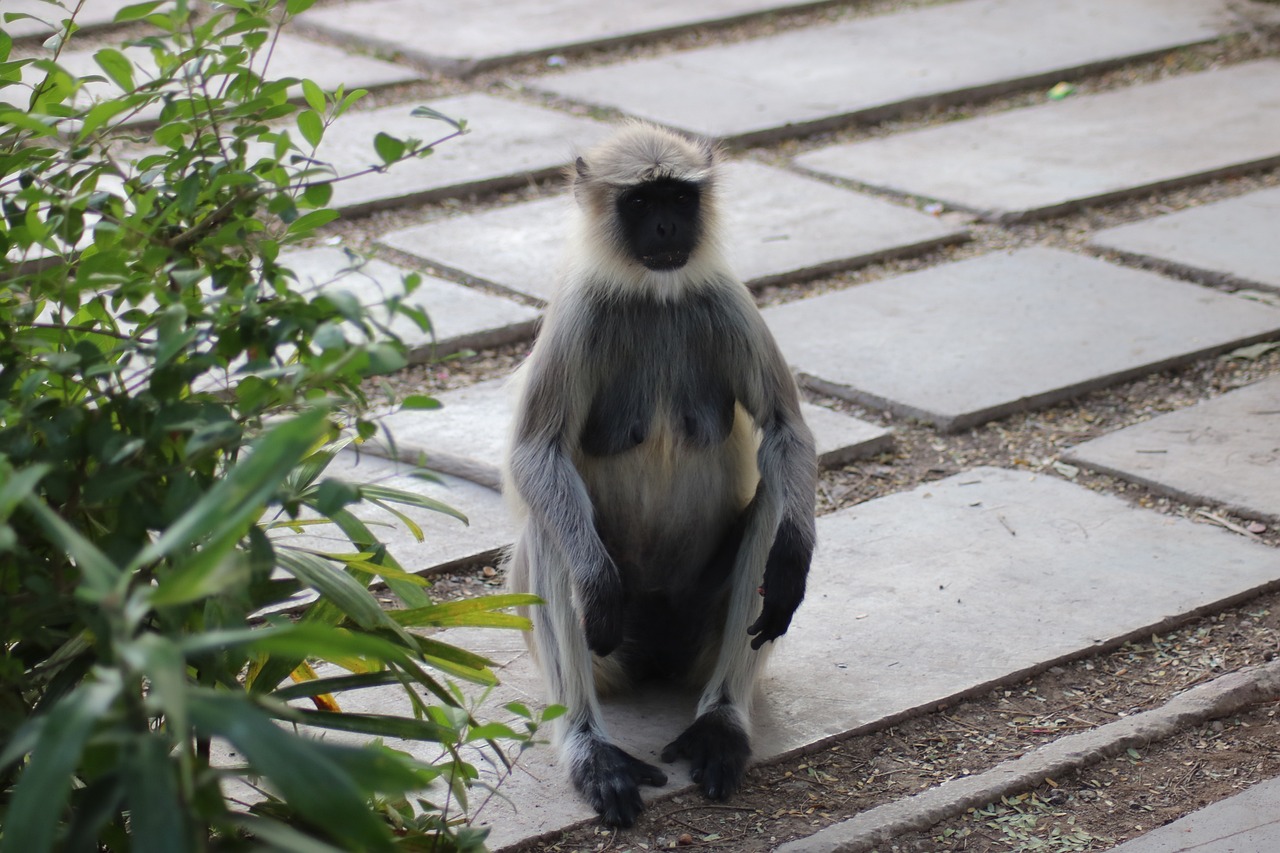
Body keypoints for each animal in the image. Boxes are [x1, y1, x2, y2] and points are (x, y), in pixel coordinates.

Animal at [504, 122, 817, 828]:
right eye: (642, 204)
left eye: (678, 196)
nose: (669, 228)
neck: (652, 297)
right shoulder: (580, 315)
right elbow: (536, 454)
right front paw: (595, 583)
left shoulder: (726, 301)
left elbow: (786, 430)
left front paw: (793, 560)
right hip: (613, 656)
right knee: (550, 532)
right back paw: (590, 751)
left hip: (697, 637)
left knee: (770, 512)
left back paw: (722, 722)